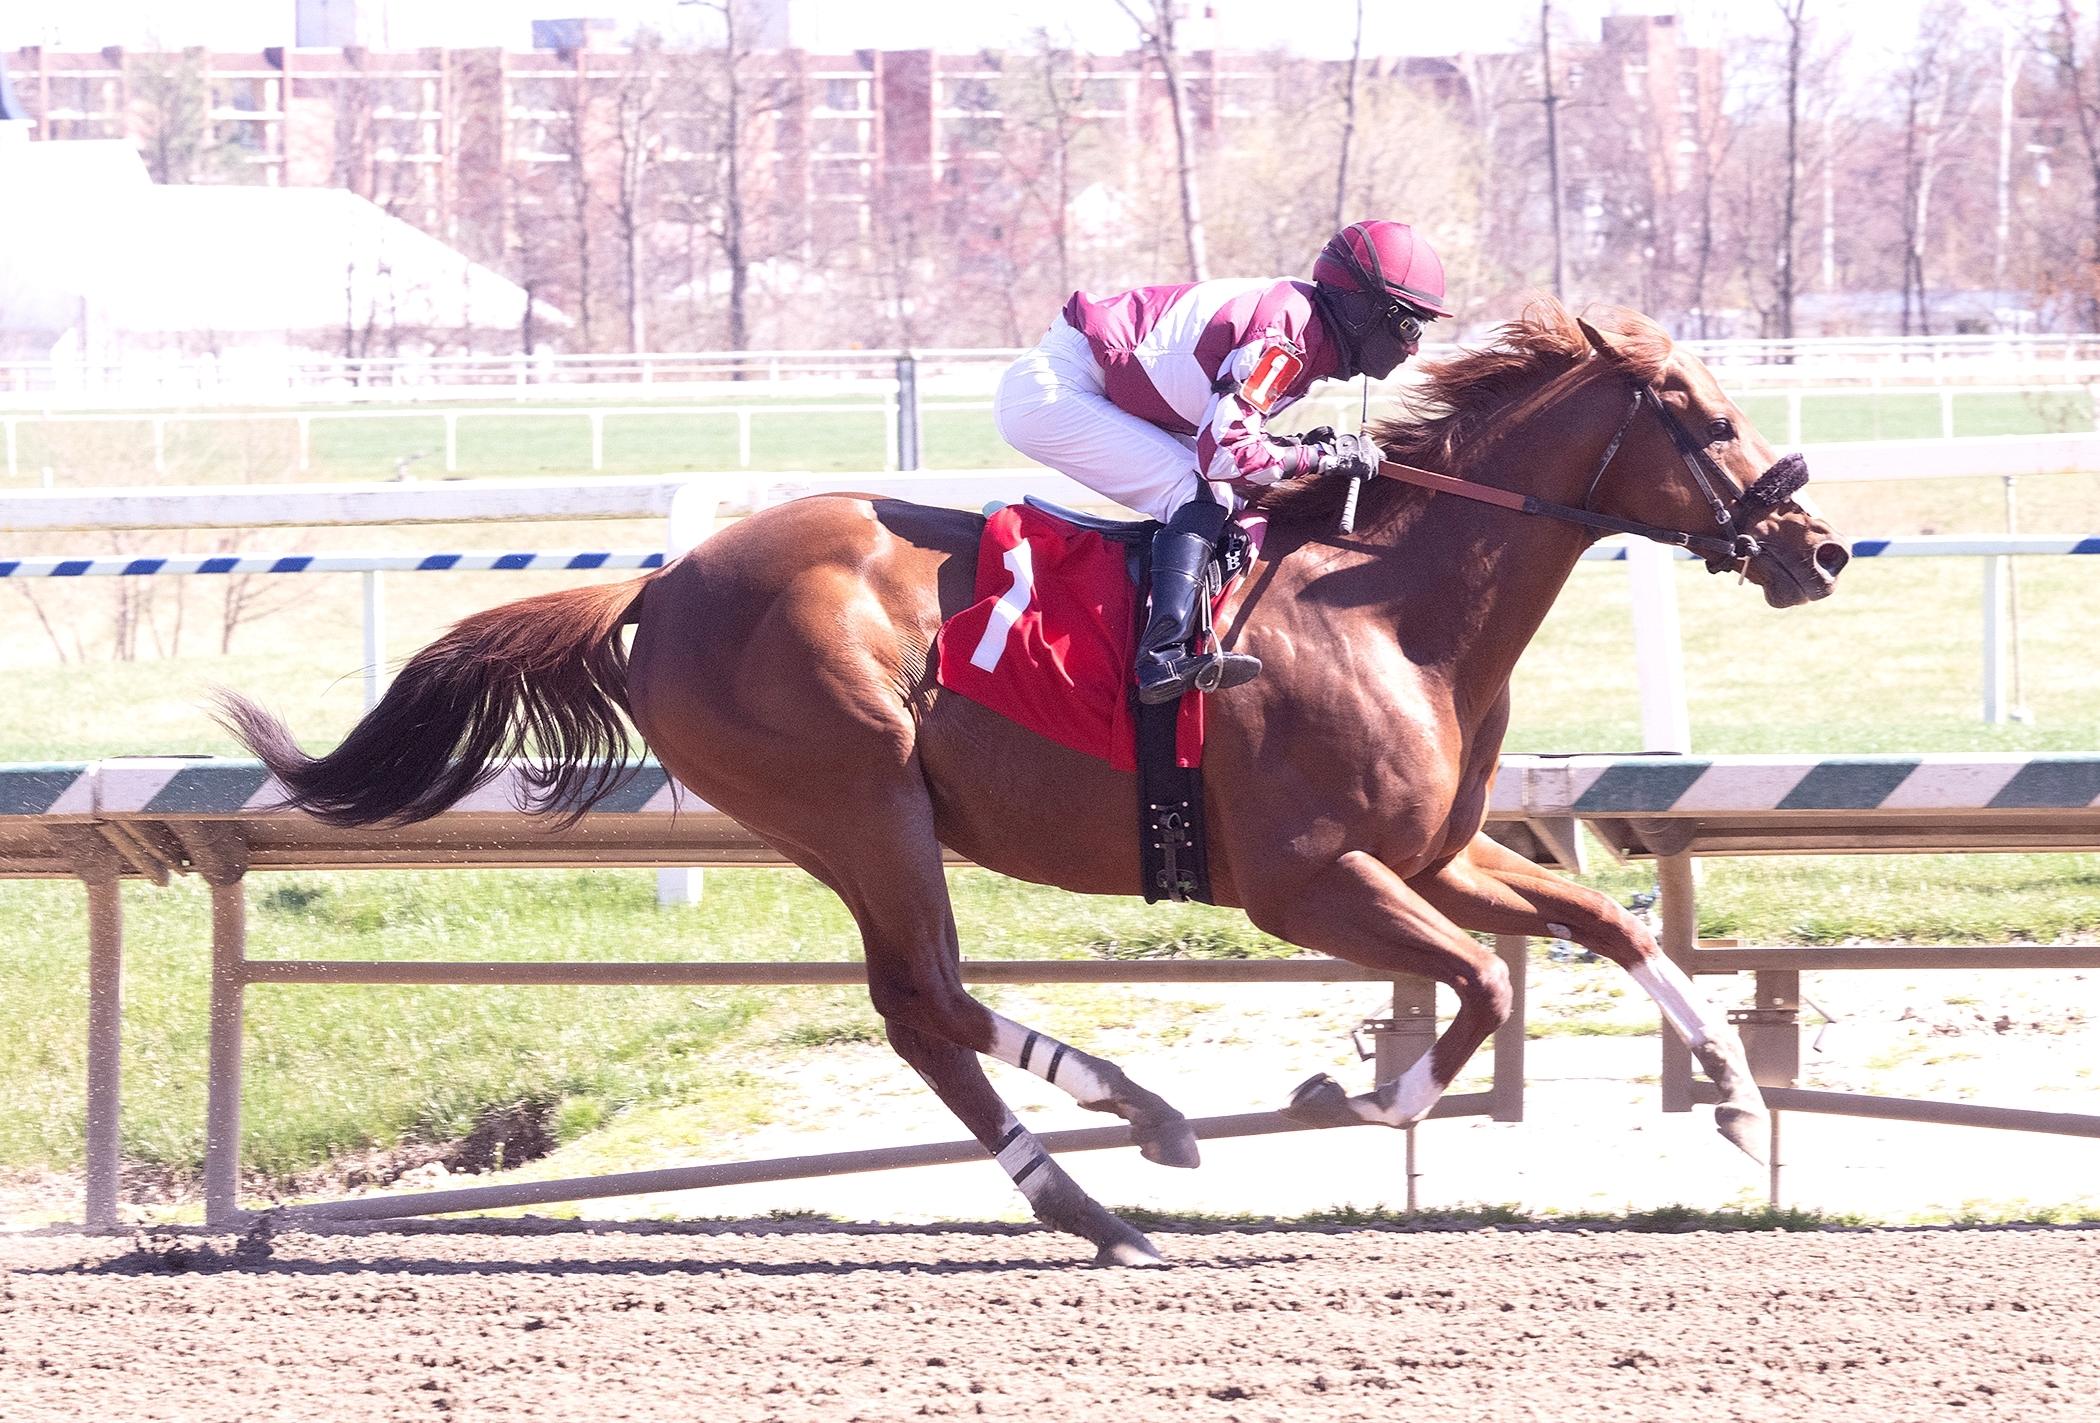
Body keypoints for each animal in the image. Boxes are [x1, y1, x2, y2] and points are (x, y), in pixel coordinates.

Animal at [218, 299, 1849, 1265]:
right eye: (1705, 417)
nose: (1818, 546)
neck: (1389, 600)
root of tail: (662, 582)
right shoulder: (1307, 880)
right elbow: (1482, 985)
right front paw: (1350, 1088)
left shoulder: (1429, 851)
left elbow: (1601, 922)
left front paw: (1726, 1088)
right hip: (863, 796)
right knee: (925, 1001)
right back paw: (1122, 1154)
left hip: (858, 822)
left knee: (920, 1009)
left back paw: (1112, 1165)